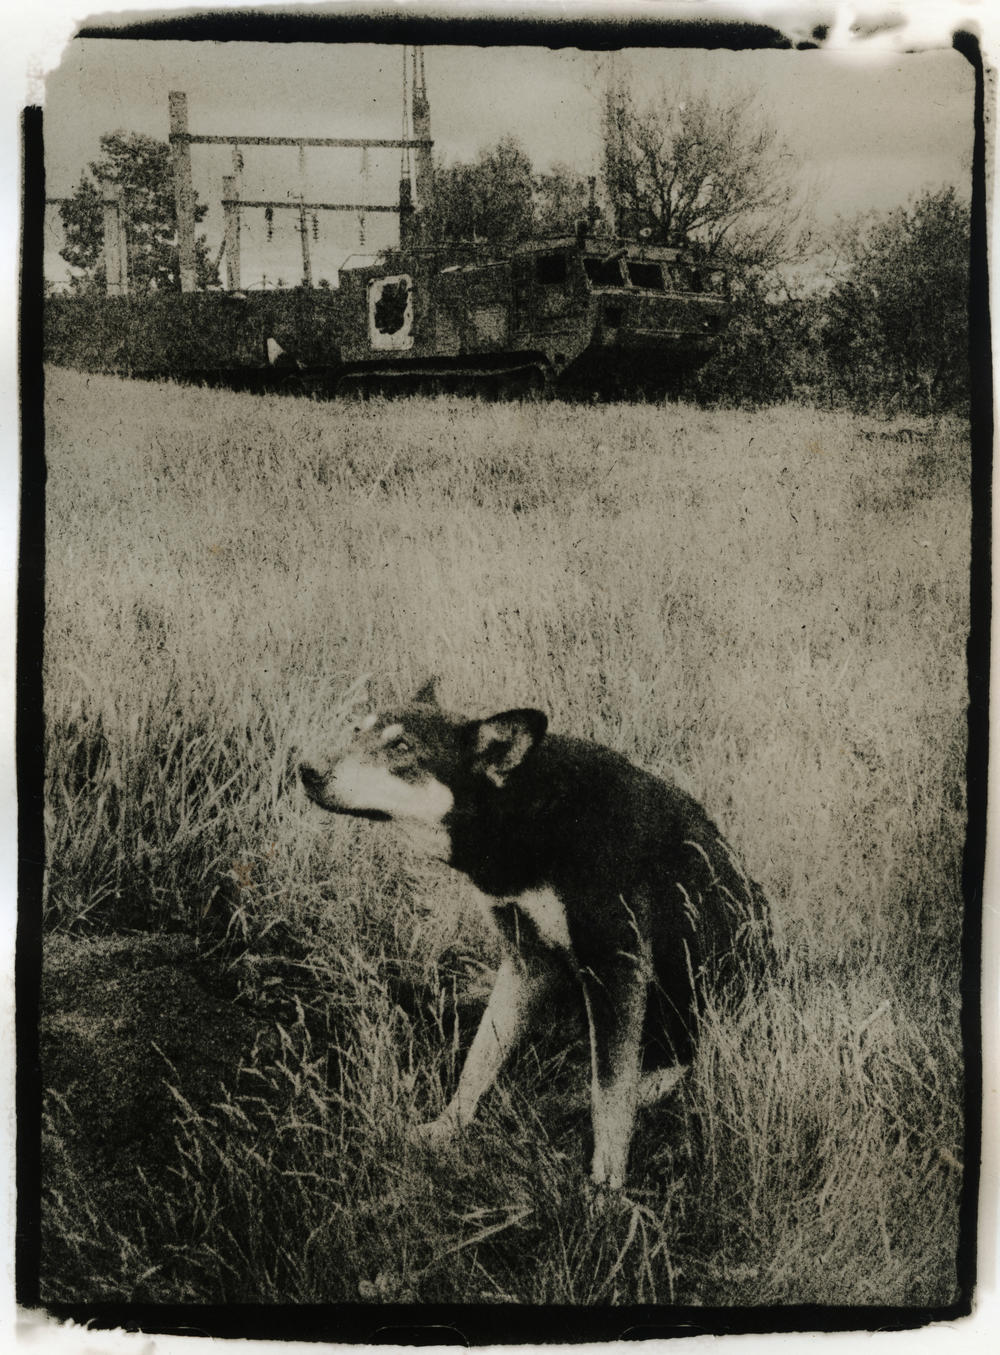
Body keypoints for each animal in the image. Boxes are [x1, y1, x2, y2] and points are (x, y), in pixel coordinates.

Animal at [295, 677, 764, 1186]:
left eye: (401, 747)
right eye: (356, 730)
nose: (305, 769)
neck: (527, 810)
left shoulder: (615, 971)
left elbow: (610, 1094)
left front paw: (605, 1187)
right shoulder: (526, 961)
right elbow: (481, 1056)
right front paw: (448, 1126)